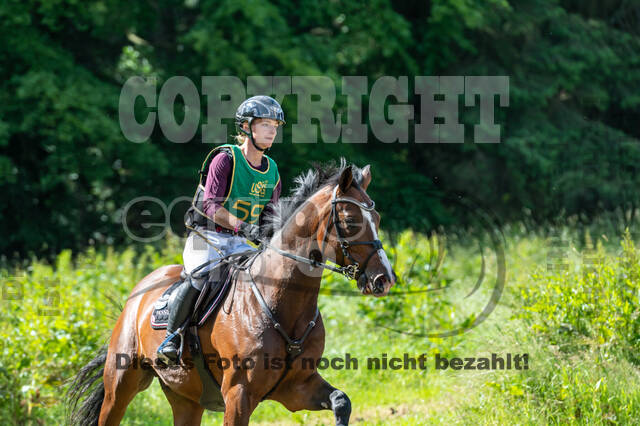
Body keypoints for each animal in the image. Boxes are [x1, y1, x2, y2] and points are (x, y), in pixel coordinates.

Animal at [67, 161, 396, 426]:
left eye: (378, 220)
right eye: (351, 222)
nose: (385, 279)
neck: (282, 302)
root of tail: (138, 291)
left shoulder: (298, 388)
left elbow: (342, 401)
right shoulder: (239, 395)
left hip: (186, 398)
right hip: (121, 385)